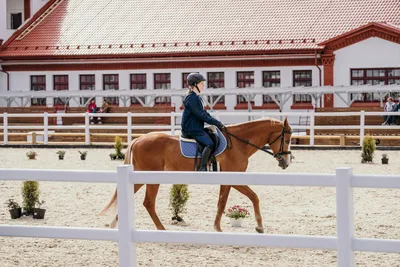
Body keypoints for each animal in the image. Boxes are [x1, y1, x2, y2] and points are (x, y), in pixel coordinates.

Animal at [100, 116, 294, 233]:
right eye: (286, 139)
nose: (286, 162)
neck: (239, 143)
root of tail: (138, 139)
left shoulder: (228, 179)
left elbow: (222, 202)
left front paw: (217, 227)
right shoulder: (234, 177)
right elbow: (253, 197)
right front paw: (259, 226)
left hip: (139, 177)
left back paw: (115, 224)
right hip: (150, 177)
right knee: (148, 203)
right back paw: (161, 229)